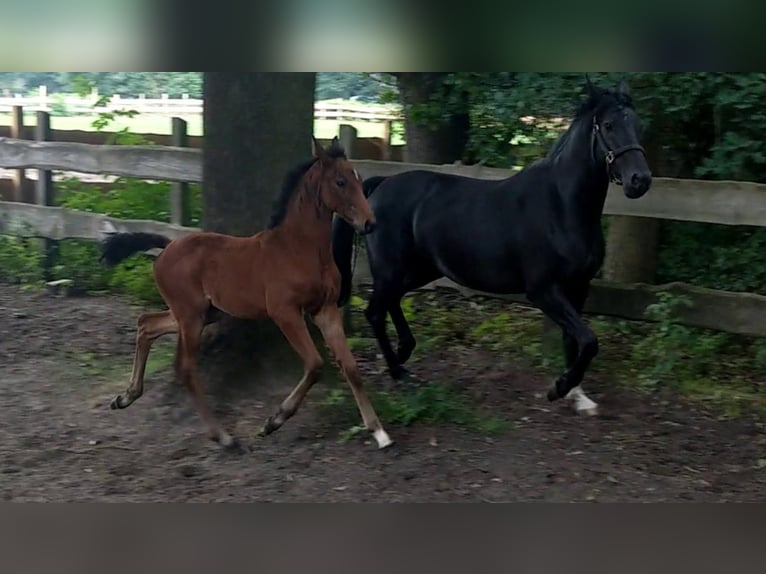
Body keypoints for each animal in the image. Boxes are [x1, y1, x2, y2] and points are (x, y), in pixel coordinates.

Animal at [99, 137, 394, 450]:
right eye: (340, 181)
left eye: (358, 178)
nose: (370, 223)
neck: (299, 249)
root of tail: (167, 246)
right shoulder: (285, 312)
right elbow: (315, 364)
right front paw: (273, 421)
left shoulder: (325, 310)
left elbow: (350, 368)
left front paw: (379, 432)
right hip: (191, 317)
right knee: (186, 367)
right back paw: (223, 436)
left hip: (203, 313)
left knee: (146, 324)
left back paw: (125, 397)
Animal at [333, 77, 652, 416]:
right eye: (608, 125)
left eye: (637, 124)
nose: (640, 180)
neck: (560, 207)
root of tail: (380, 186)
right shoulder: (544, 290)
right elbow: (589, 340)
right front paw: (559, 388)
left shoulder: (578, 287)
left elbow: (575, 340)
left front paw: (578, 395)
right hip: (394, 269)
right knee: (374, 313)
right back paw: (399, 371)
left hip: (417, 270)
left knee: (390, 303)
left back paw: (404, 352)